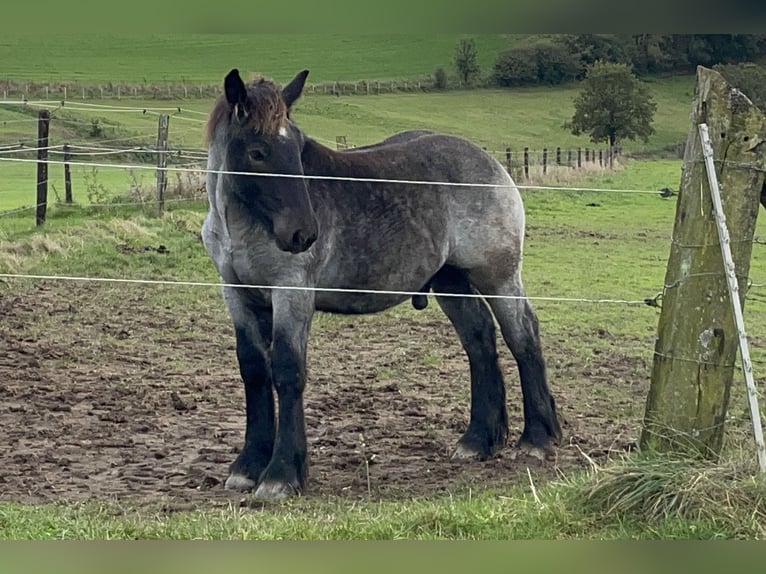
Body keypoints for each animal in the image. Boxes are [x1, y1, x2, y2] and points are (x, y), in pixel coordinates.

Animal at [202, 66, 564, 500]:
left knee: (523, 338)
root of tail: (491, 163)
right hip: (452, 283)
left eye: (297, 150)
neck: (244, 224)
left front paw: (281, 474)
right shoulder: (237, 295)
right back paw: (478, 441)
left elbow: (287, 370)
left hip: (499, 278)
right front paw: (248, 465)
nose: (303, 234)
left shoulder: (292, 293)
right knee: (479, 342)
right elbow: (254, 369)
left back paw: (538, 439)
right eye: (257, 152)